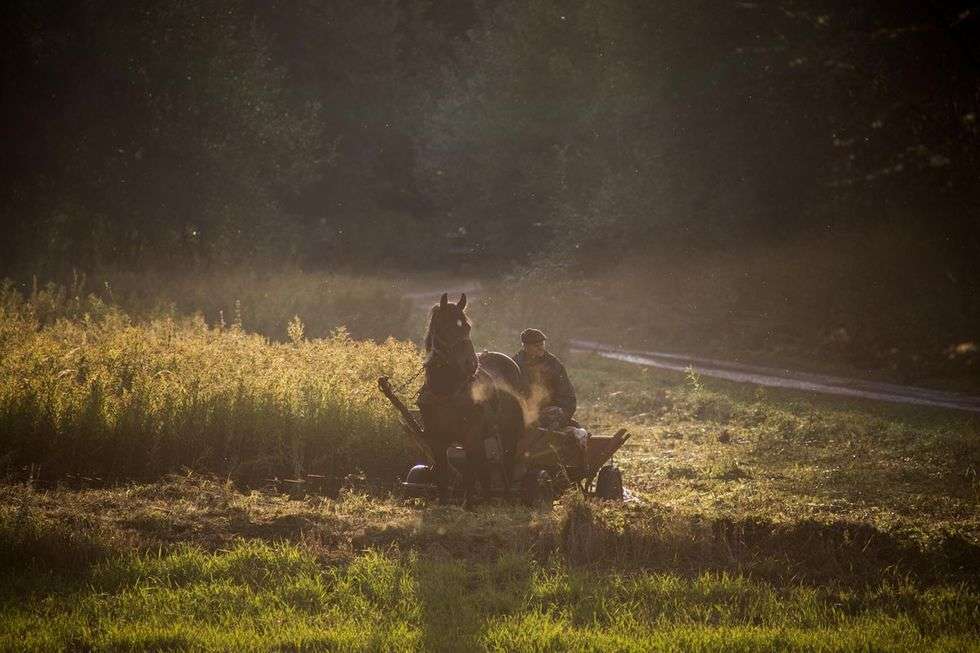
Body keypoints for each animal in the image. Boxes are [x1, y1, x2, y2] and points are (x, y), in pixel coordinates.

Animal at [420, 292, 528, 496]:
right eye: (444, 327)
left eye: (467, 326)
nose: (470, 363)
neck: (446, 393)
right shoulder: (437, 441)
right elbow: (443, 479)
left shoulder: (471, 439)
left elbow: (474, 477)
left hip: (508, 433)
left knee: (505, 465)